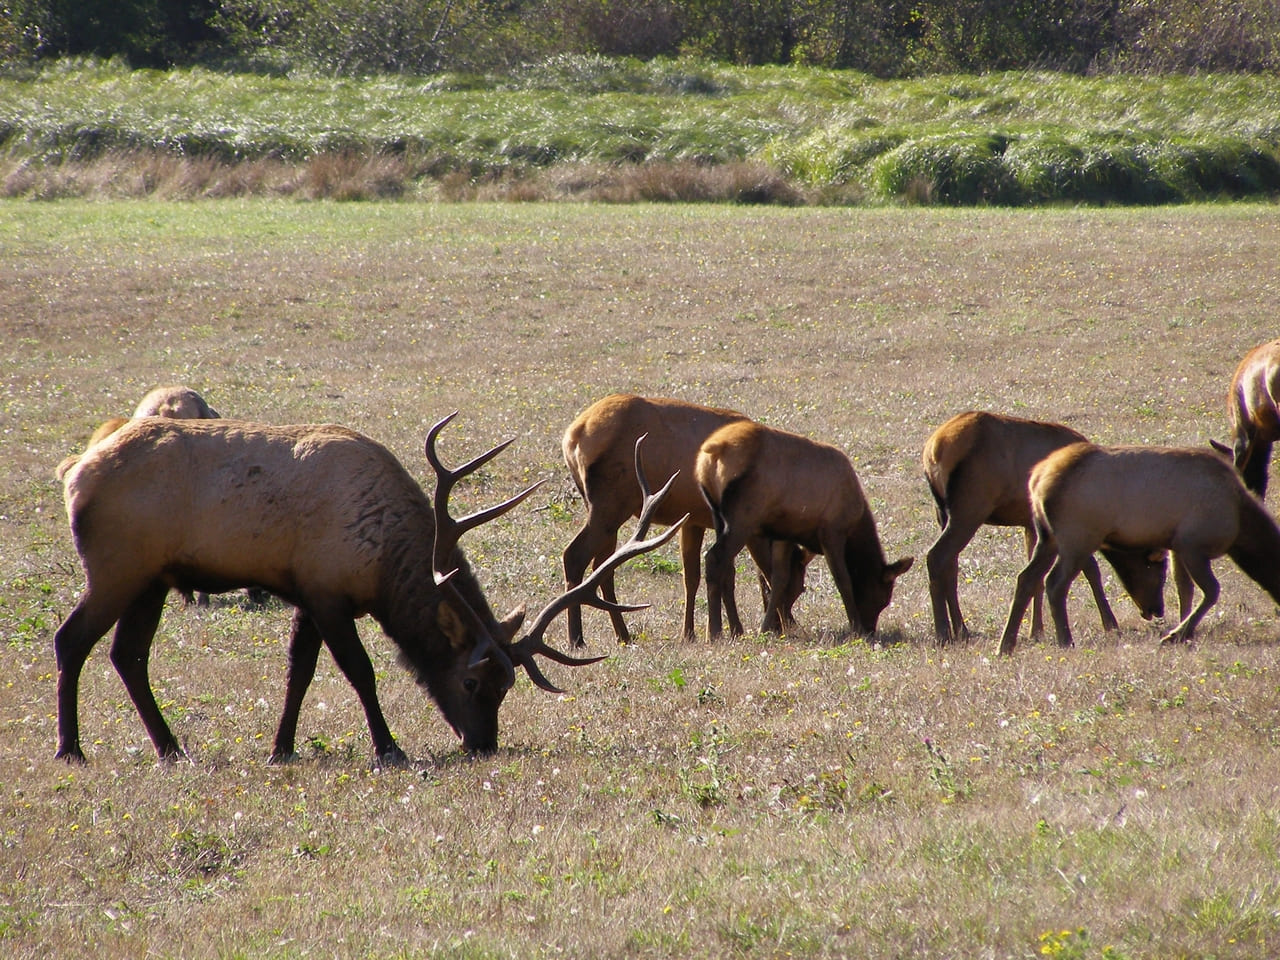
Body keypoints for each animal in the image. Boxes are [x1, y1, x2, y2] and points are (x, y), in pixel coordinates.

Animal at [52, 412, 684, 765]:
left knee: (128, 654)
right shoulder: (328, 592)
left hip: (150, 580)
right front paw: (389, 747)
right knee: (71, 640)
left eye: (507, 686)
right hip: (115, 566)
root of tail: (74, 474)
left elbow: (298, 672)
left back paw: (170, 747)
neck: (382, 561)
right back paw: (71, 748)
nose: (483, 743)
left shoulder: (307, 592)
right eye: (473, 680)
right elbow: (359, 671)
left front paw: (281, 748)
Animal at [561, 394, 811, 644]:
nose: (786, 625)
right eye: (799, 585)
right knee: (575, 555)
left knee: (602, 566)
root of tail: (573, 436)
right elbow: (727, 573)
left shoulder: (693, 521)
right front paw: (734, 630)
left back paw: (623, 635)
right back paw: (577, 638)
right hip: (609, 506)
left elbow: (692, 577)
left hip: (600, 508)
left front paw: (690, 633)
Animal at [695, 419, 913, 639]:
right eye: (884, 599)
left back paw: (725, 630)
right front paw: (855, 628)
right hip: (742, 518)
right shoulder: (832, 530)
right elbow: (843, 579)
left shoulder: (784, 533)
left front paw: (765, 627)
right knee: (714, 558)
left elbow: (778, 578)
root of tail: (714, 449)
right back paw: (714, 632)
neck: (856, 522)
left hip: (716, 513)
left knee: (724, 566)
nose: (870, 630)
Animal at [923, 410, 1169, 644]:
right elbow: (1090, 569)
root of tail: (934, 449)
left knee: (950, 565)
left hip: (942, 512)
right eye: (1157, 567)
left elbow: (1036, 580)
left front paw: (1036, 631)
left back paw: (961, 630)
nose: (1157, 609)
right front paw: (1111, 624)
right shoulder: (1073, 528)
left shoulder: (1032, 526)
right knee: (936, 556)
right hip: (970, 508)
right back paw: (943, 632)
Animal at [998, 442, 1280, 654]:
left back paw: (1006, 645)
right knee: (1054, 583)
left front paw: (1184, 632)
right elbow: (1211, 591)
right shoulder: (1192, 545)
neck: (1241, 524)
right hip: (1077, 537)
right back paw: (1065, 641)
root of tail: (1037, 481)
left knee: (1026, 578)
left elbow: (1185, 589)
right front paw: (1176, 635)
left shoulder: (1178, 546)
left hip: (1047, 537)